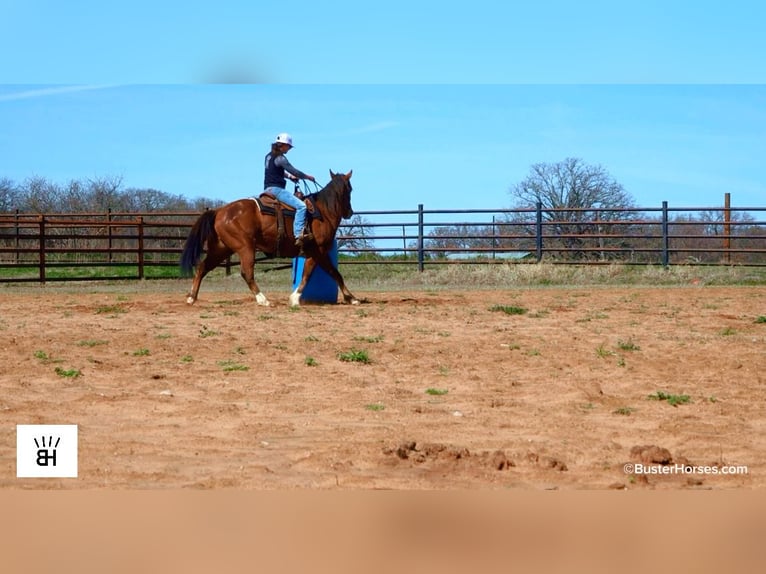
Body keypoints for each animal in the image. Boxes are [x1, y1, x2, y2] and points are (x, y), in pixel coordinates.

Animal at [180, 170, 360, 307]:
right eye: (350, 189)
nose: (349, 212)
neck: (322, 212)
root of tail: (219, 211)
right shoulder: (318, 251)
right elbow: (312, 275)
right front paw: (295, 299)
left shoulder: (318, 253)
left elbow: (333, 273)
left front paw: (351, 298)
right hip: (245, 248)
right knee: (247, 273)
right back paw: (263, 300)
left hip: (221, 249)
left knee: (202, 267)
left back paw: (191, 297)